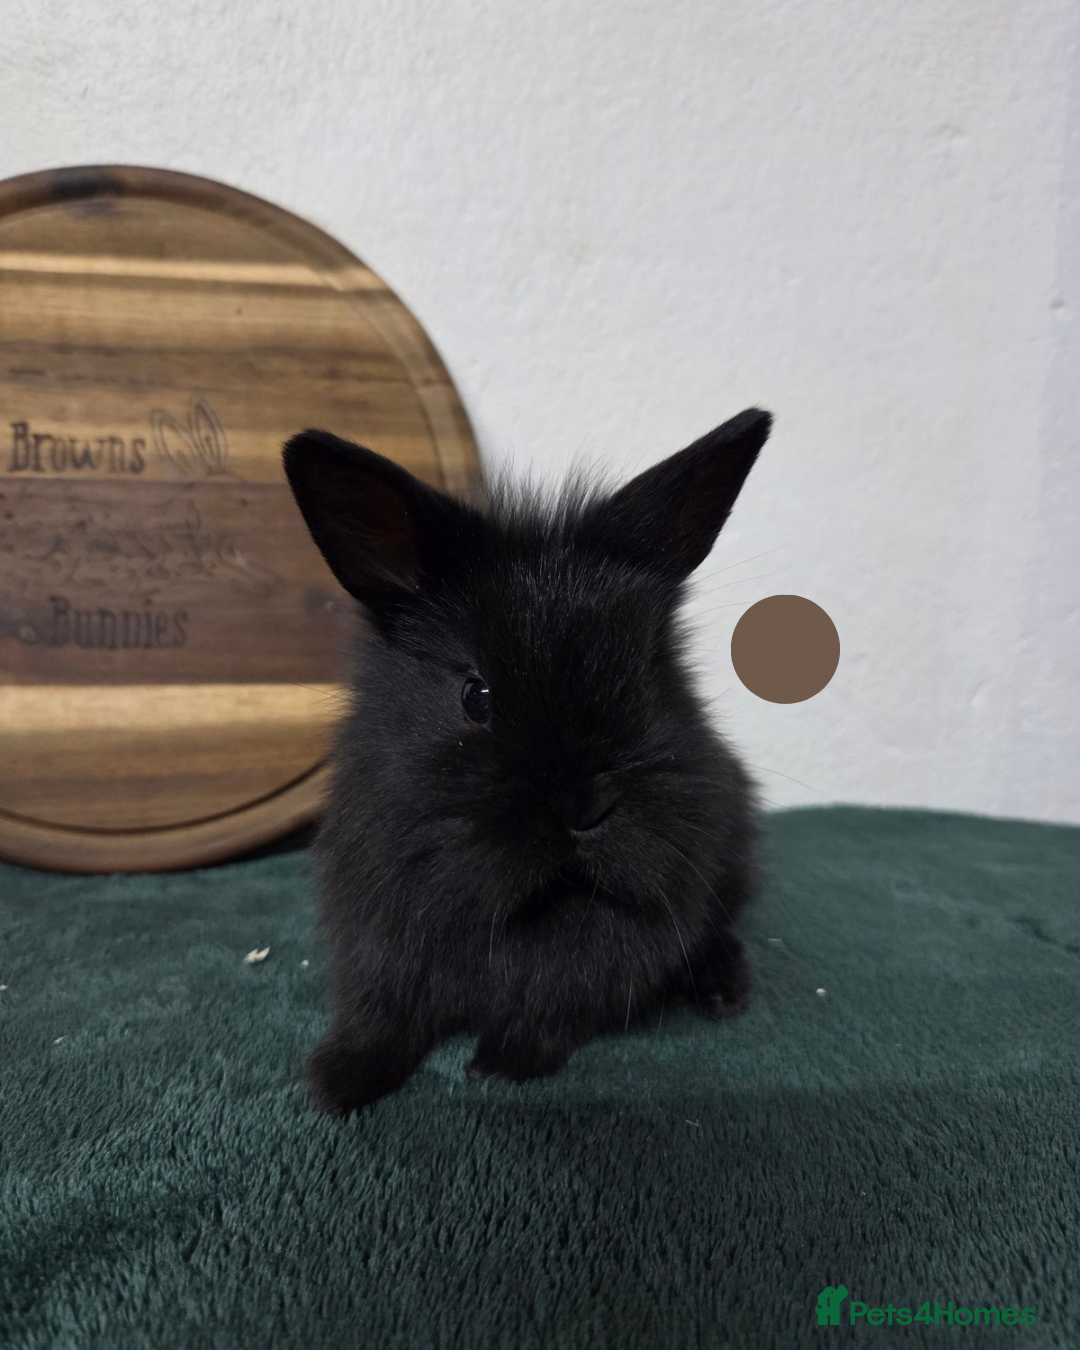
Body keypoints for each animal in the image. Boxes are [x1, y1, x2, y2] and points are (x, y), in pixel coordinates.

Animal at [283, 406, 772, 1116]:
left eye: (646, 681)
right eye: (475, 695)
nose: (582, 807)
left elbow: (550, 1014)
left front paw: (498, 1067)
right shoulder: (379, 946)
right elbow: (382, 1018)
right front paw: (335, 1081)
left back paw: (724, 993)